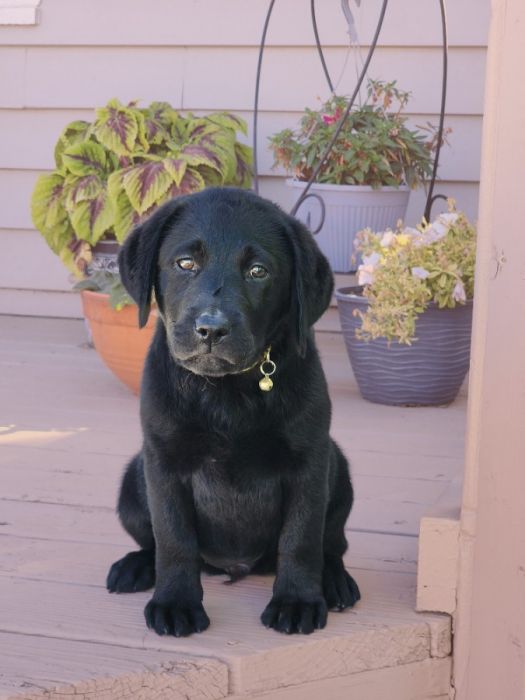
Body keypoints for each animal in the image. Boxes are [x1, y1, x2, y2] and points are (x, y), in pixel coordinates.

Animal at [106, 186, 360, 636]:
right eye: (185, 264)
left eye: (258, 271)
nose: (211, 329)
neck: (225, 391)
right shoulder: (164, 463)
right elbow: (173, 539)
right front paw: (176, 602)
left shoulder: (309, 461)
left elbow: (301, 538)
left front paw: (296, 601)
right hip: (133, 482)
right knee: (151, 541)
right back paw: (136, 567)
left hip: (339, 468)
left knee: (331, 544)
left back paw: (333, 579)